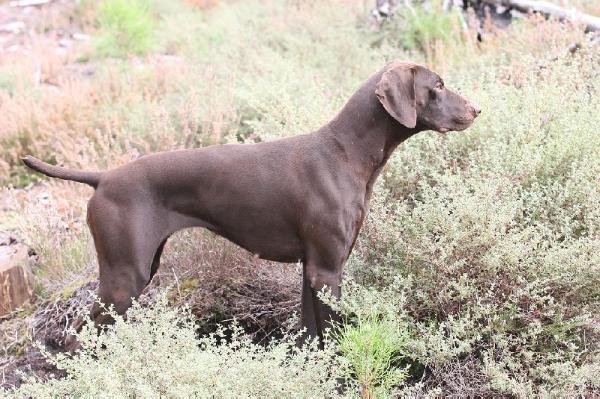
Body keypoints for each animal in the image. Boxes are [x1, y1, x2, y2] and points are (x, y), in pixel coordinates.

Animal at [23, 61, 480, 346]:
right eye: (437, 86)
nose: (477, 109)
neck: (346, 152)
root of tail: (102, 177)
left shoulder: (311, 269)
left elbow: (311, 333)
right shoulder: (327, 270)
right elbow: (334, 334)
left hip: (139, 271)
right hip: (124, 278)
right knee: (76, 338)